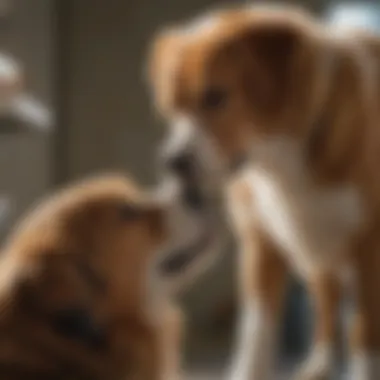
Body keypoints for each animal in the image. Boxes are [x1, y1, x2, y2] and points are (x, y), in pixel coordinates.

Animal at [148, 3, 380, 380]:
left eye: (215, 96)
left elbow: (366, 331)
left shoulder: (369, 246)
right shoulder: (261, 240)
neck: (283, 163)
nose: (172, 162)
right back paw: (319, 364)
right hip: (315, 250)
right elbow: (256, 329)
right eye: (173, 107)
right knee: (327, 301)